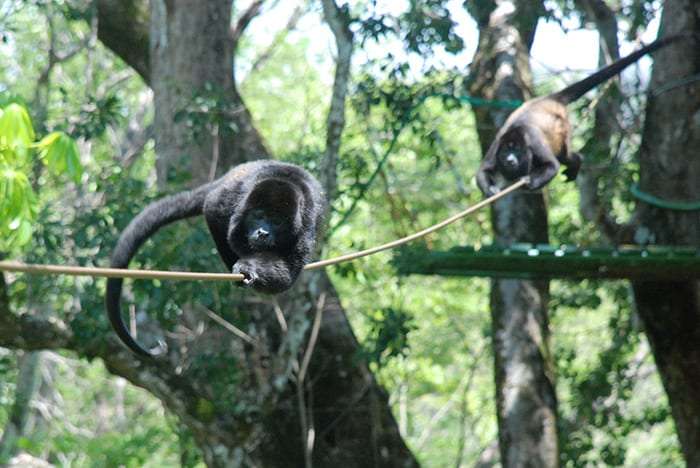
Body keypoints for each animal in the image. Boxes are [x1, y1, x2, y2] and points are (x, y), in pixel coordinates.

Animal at [105, 160, 326, 357]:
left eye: (277, 221)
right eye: (259, 215)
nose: (263, 232)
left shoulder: (306, 225)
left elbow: (286, 275)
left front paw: (250, 268)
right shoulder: (231, 201)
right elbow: (213, 210)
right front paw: (242, 267)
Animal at [476, 35, 683, 196]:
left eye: (517, 150)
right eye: (506, 151)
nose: (510, 159)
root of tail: (549, 99)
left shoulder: (533, 140)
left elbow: (552, 165)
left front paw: (529, 182)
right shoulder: (497, 143)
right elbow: (483, 171)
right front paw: (491, 191)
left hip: (563, 127)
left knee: (564, 156)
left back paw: (576, 161)